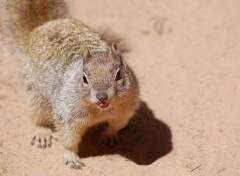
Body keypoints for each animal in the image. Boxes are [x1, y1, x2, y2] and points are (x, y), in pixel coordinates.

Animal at [0, 0, 141, 169]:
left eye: (119, 74)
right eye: (84, 78)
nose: (102, 96)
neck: (101, 111)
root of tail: (42, 26)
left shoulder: (125, 111)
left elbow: (115, 125)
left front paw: (109, 135)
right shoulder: (67, 116)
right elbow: (69, 139)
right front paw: (71, 157)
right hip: (35, 97)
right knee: (39, 118)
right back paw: (42, 134)